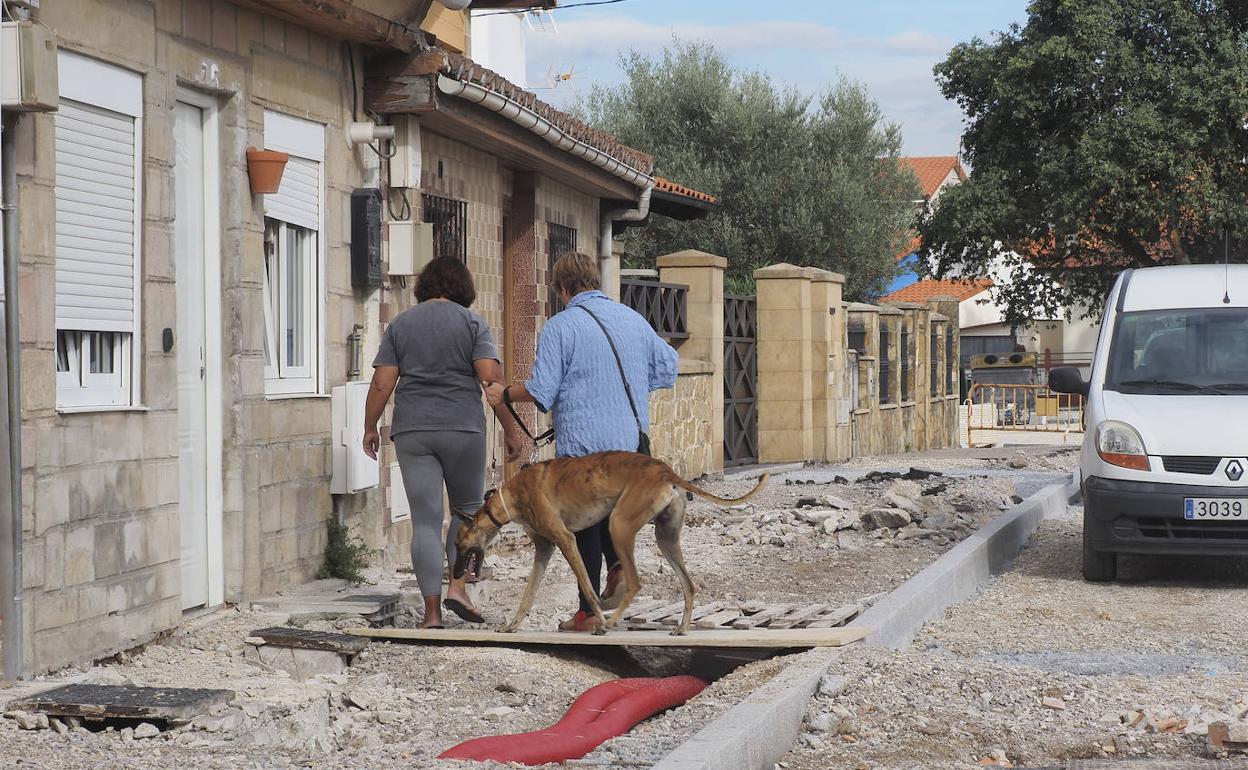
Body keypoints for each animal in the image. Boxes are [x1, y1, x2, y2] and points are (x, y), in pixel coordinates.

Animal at [454, 446, 763, 633]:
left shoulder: (566, 539)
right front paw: (512, 626)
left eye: (457, 544)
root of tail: (667, 471)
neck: (511, 497)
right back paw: (682, 627)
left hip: (619, 526)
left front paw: (600, 619)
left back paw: (611, 621)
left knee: (636, 582)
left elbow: (587, 587)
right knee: (689, 585)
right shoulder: (544, 549)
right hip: (666, 538)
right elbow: (528, 594)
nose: (456, 573)